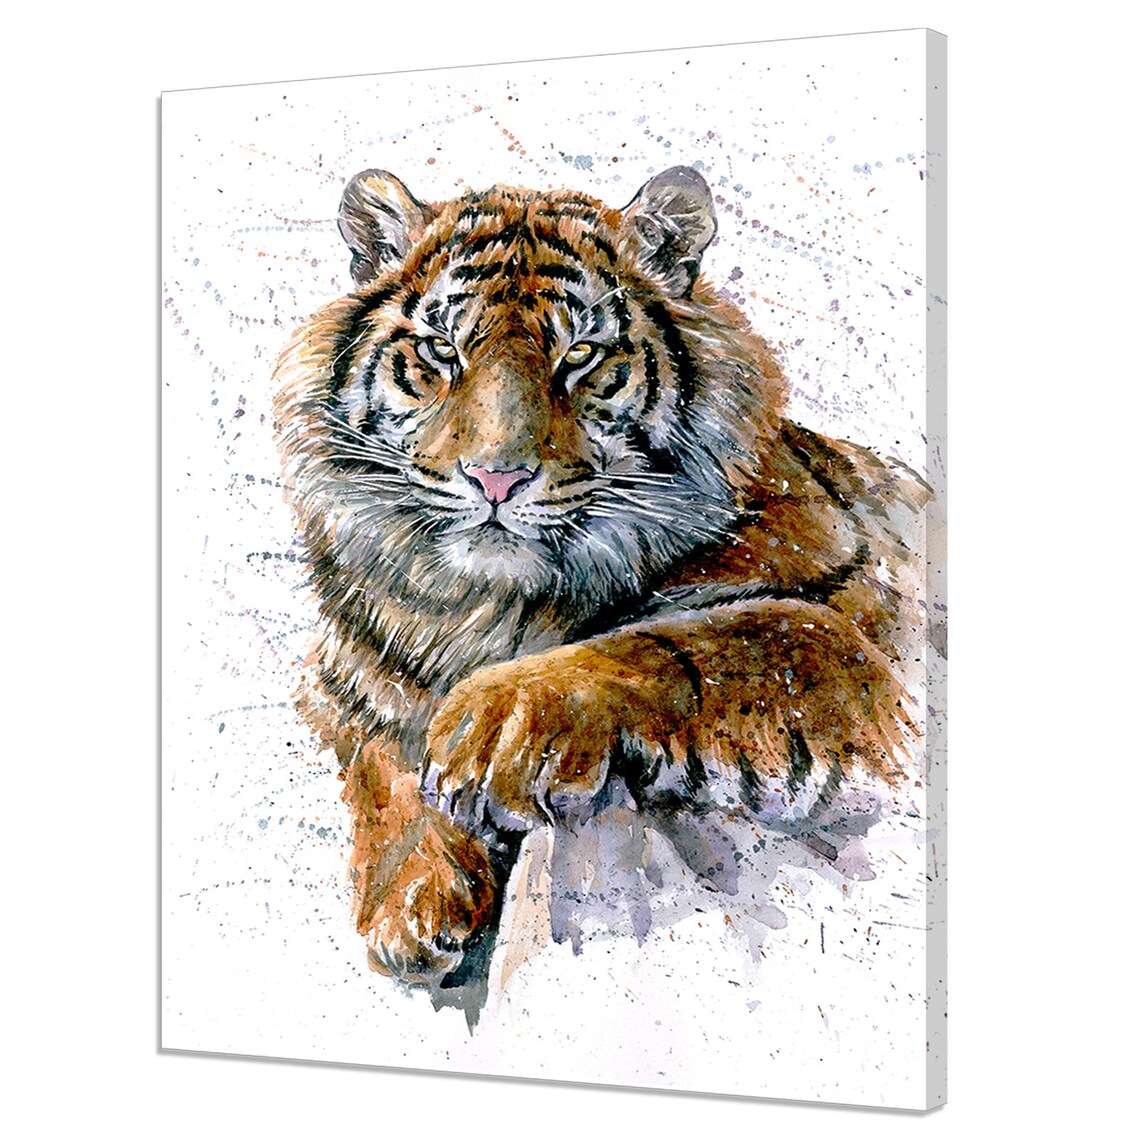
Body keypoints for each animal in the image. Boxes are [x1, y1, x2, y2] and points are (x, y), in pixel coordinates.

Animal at [272, 165, 931, 992]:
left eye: (581, 354)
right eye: (441, 351)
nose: (496, 478)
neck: (488, 608)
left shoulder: (854, 636)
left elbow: (686, 641)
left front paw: (492, 726)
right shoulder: (346, 679)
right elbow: (375, 756)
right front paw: (409, 901)